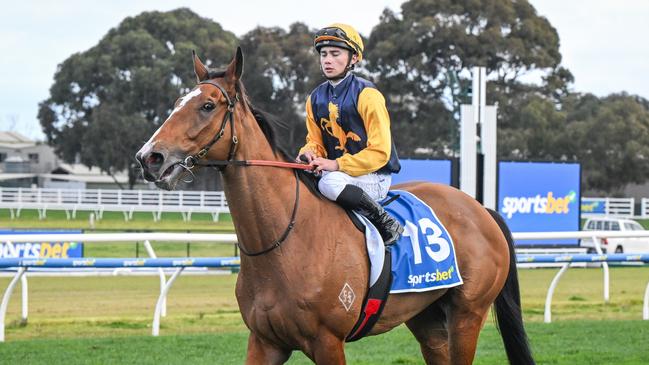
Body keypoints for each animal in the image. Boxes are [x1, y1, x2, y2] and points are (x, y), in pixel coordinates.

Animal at [135, 48, 532, 364]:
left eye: (207, 106)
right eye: (176, 104)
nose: (149, 157)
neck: (281, 243)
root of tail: (481, 209)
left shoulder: (328, 342)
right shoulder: (264, 341)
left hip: (467, 314)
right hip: (426, 317)